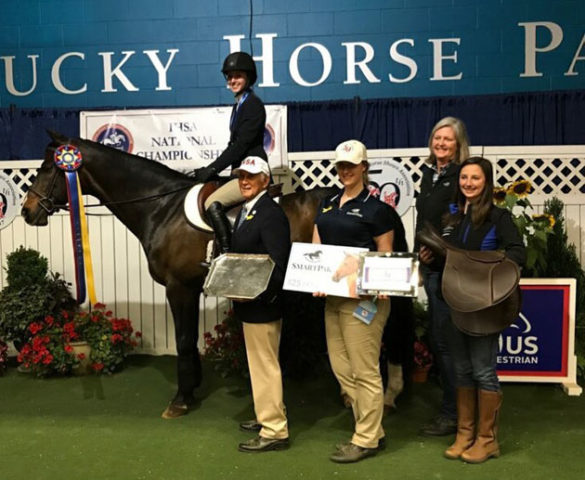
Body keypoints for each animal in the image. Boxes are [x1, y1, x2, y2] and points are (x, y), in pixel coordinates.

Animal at [21, 130, 334, 416]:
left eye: (47, 168)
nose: (27, 211)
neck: (162, 208)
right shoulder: (190, 289)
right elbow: (190, 338)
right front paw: (192, 387)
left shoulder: (178, 287)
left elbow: (183, 340)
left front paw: (181, 399)